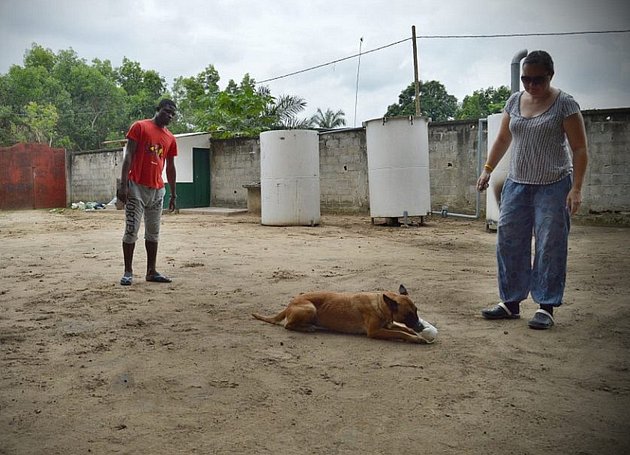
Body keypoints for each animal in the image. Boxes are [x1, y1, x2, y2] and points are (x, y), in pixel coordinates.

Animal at [254, 284, 436, 344]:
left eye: (416, 311)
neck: (381, 304)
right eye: (408, 315)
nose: (421, 327)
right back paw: (307, 328)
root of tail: (290, 304)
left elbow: (404, 329)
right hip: (310, 309)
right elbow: (400, 333)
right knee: (288, 325)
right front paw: (416, 338)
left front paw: (415, 334)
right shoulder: (375, 331)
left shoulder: (388, 324)